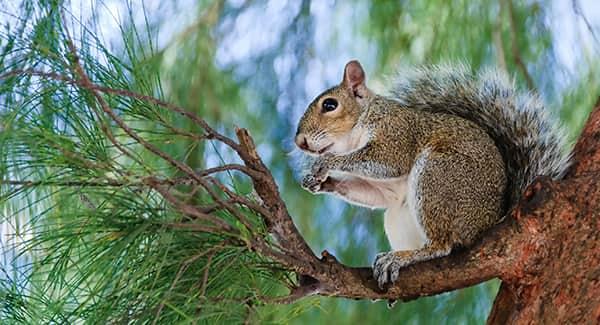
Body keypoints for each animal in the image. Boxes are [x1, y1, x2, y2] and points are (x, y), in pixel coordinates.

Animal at [296, 60, 572, 286]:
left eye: (330, 105)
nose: (300, 142)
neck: (357, 130)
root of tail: (491, 220)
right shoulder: (386, 189)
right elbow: (375, 193)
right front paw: (319, 183)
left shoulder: (397, 133)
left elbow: (386, 160)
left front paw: (327, 163)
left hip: (437, 176)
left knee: (442, 245)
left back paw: (403, 257)